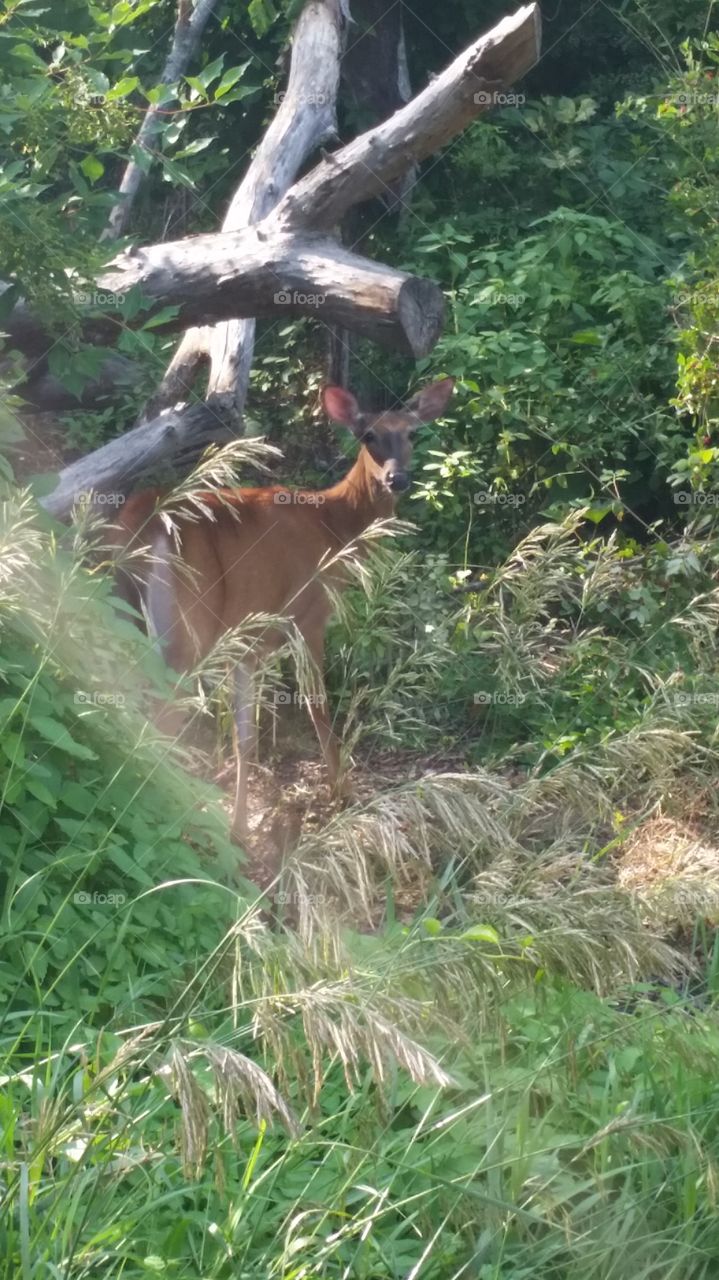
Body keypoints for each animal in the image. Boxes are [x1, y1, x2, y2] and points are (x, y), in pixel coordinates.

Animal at [113, 376, 455, 842]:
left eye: (412, 433)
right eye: (368, 435)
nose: (397, 478)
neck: (334, 525)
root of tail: (146, 521)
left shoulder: (247, 639)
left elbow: (245, 737)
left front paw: (239, 828)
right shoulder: (307, 616)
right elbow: (318, 707)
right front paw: (342, 795)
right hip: (186, 629)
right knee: (158, 716)